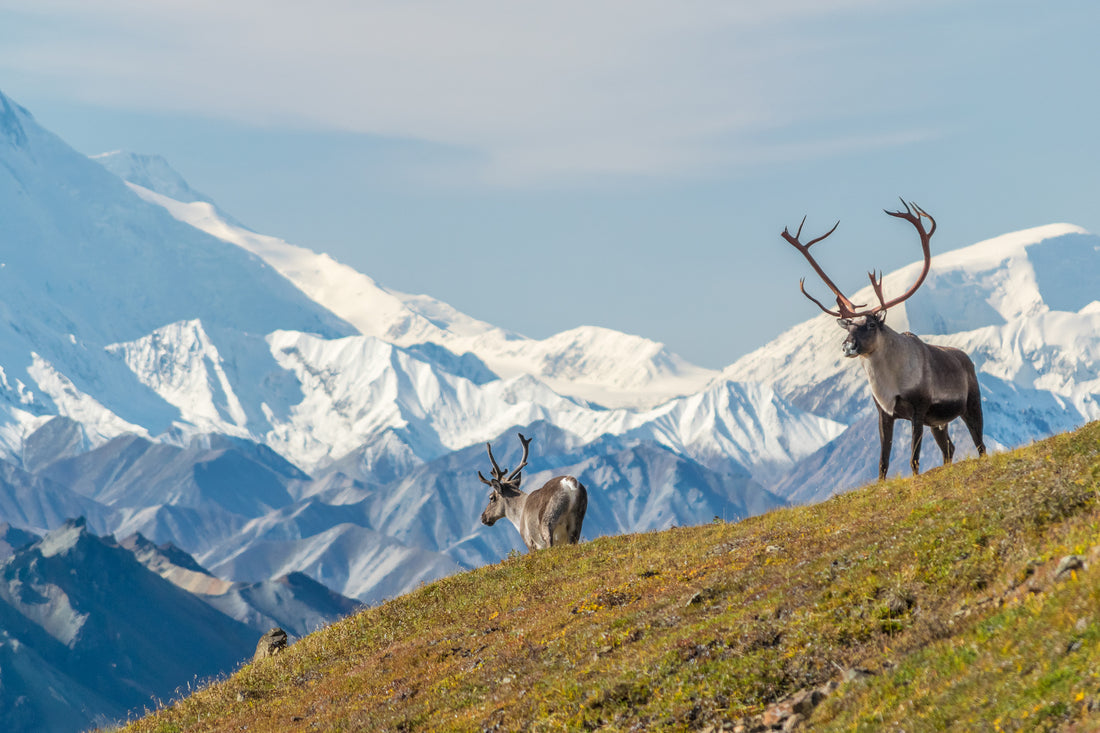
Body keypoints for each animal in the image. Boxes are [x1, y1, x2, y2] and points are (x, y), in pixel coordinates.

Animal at [780, 199, 986, 480]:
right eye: (848, 327)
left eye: (869, 324)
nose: (847, 346)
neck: (889, 383)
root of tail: (966, 358)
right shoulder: (884, 413)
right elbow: (883, 462)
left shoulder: (919, 409)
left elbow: (913, 458)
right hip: (938, 422)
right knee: (949, 448)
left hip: (970, 404)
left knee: (980, 444)